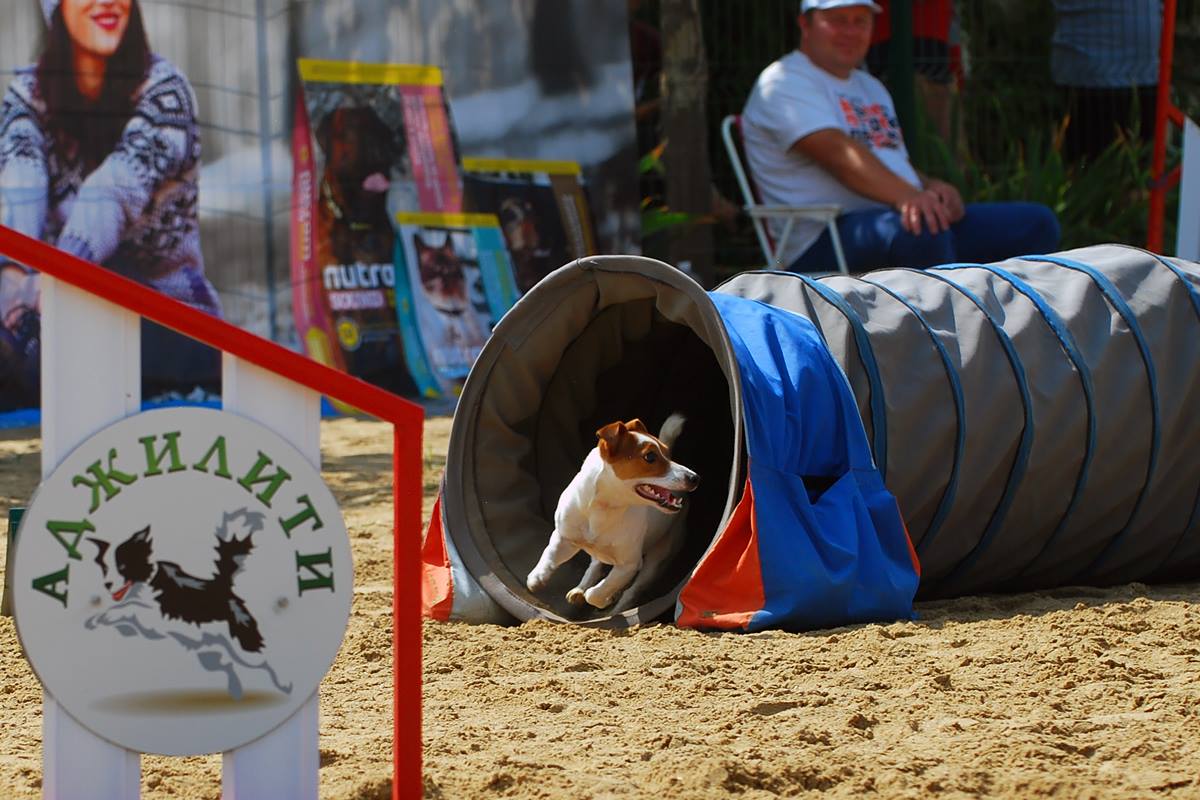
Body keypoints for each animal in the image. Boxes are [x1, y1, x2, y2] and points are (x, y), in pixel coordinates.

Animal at [528, 412, 700, 614]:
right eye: (650, 456)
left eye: (665, 453)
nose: (695, 478)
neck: (603, 508)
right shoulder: (565, 538)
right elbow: (549, 554)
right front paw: (537, 577)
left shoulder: (629, 565)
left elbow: (598, 593)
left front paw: (606, 599)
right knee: (594, 565)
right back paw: (580, 589)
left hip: (658, 557)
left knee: (632, 591)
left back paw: (614, 604)